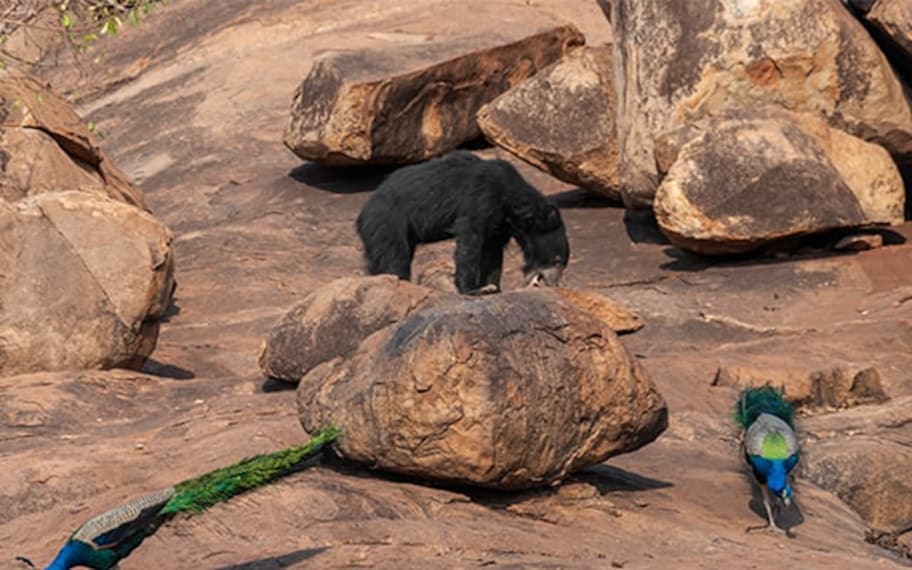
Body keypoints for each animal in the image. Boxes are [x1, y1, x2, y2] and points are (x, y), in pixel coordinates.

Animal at [355, 151, 569, 295]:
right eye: (557, 260)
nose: (555, 284)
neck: (511, 203)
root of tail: (363, 212)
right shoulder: (481, 200)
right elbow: (470, 241)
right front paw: (473, 289)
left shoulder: (500, 224)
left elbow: (493, 251)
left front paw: (492, 287)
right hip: (388, 222)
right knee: (393, 257)